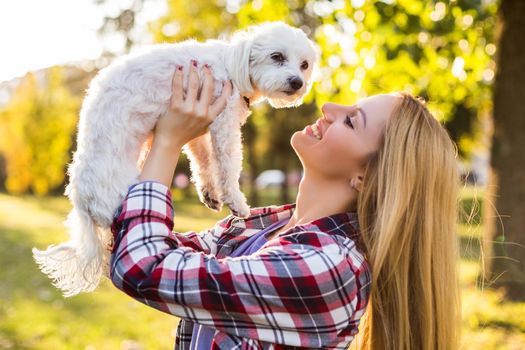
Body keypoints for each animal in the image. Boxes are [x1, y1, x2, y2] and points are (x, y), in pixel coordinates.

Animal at [33, 21, 320, 296]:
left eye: (305, 65)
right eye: (277, 56)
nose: (297, 82)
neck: (231, 67)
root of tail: (82, 200)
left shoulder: (199, 132)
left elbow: (203, 163)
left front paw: (209, 193)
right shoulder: (223, 124)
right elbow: (227, 166)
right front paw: (236, 202)